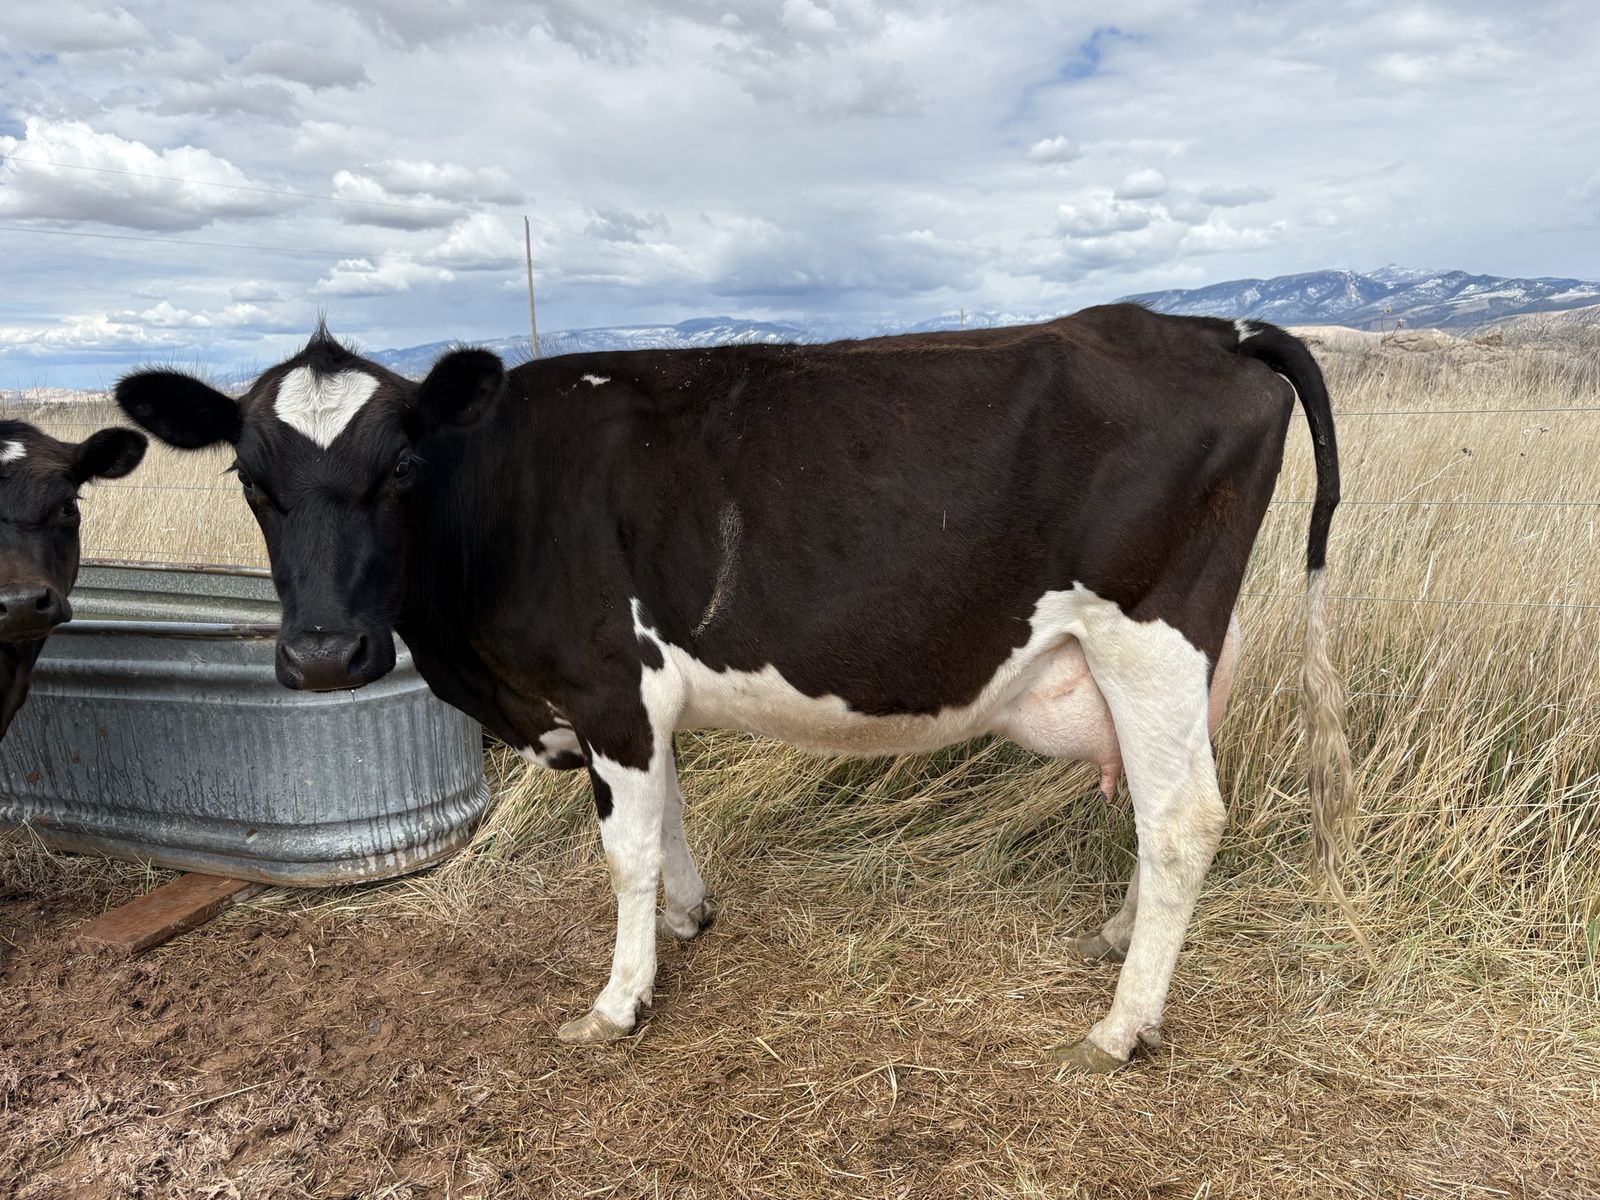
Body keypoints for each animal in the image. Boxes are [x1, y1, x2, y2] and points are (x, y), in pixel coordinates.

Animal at [115, 306, 1354, 1072]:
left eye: (401, 467)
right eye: (250, 479)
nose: (323, 654)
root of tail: (1205, 325)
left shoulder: (607, 685)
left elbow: (622, 845)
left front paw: (621, 997)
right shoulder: (636, 700)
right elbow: (664, 812)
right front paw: (687, 916)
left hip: (1144, 635)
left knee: (1182, 817)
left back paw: (1123, 1023)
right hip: (1175, 656)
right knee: (1162, 807)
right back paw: (1118, 938)